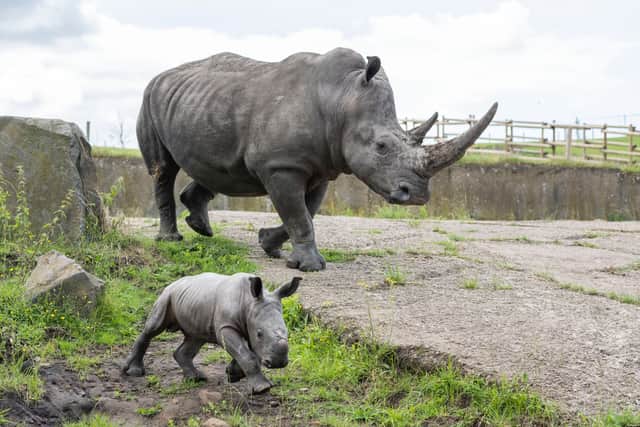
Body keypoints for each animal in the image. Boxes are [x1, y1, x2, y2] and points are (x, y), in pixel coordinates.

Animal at [122, 272, 301, 394]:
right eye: (259, 333)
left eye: (287, 331)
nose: (278, 363)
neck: (249, 302)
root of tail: (175, 282)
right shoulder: (226, 327)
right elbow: (246, 354)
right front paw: (263, 388)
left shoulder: (249, 324)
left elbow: (250, 353)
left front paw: (233, 375)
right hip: (167, 295)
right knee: (153, 328)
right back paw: (134, 372)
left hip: (192, 302)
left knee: (195, 338)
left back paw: (196, 378)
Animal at [137, 48, 497, 271]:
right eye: (381, 146)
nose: (418, 196)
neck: (343, 96)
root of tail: (161, 76)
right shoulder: (282, 165)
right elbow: (298, 214)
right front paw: (310, 267)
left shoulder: (322, 166)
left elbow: (306, 211)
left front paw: (269, 245)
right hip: (149, 98)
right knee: (163, 169)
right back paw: (171, 239)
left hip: (199, 104)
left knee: (216, 169)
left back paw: (202, 228)